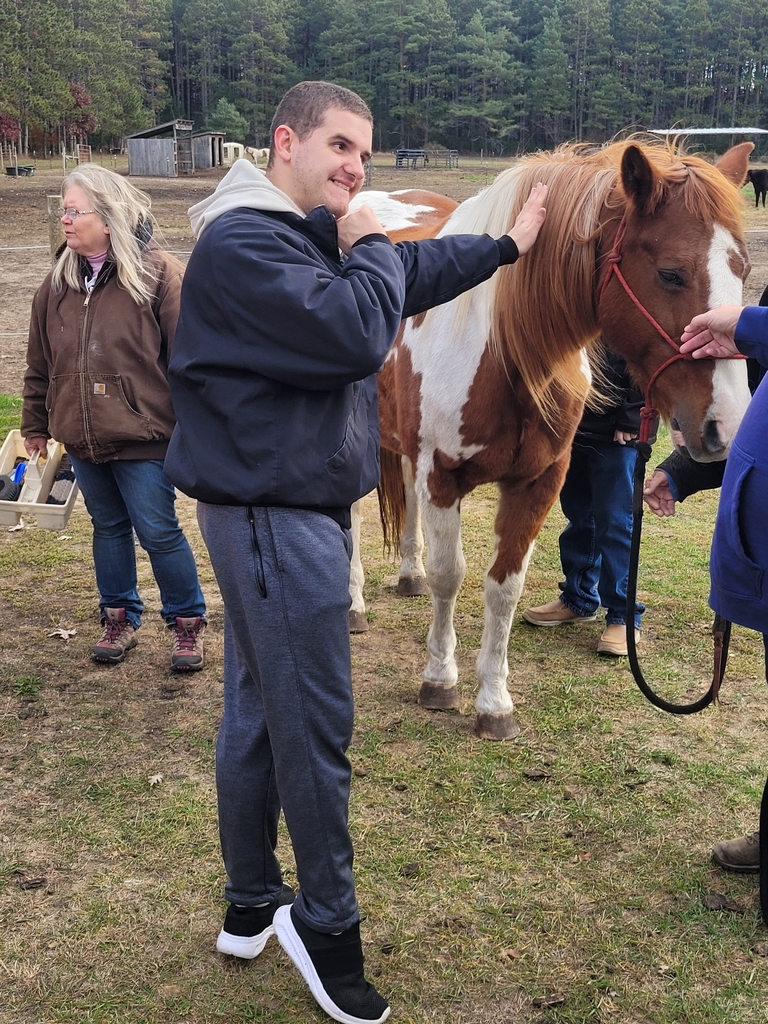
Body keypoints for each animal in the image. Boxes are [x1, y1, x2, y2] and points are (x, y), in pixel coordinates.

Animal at [352, 139, 754, 740]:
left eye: (742, 270)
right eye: (670, 274)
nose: (725, 425)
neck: (503, 348)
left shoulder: (539, 480)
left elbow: (504, 587)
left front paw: (494, 702)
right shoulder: (442, 476)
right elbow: (452, 578)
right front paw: (440, 679)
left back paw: (409, 575)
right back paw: (352, 605)